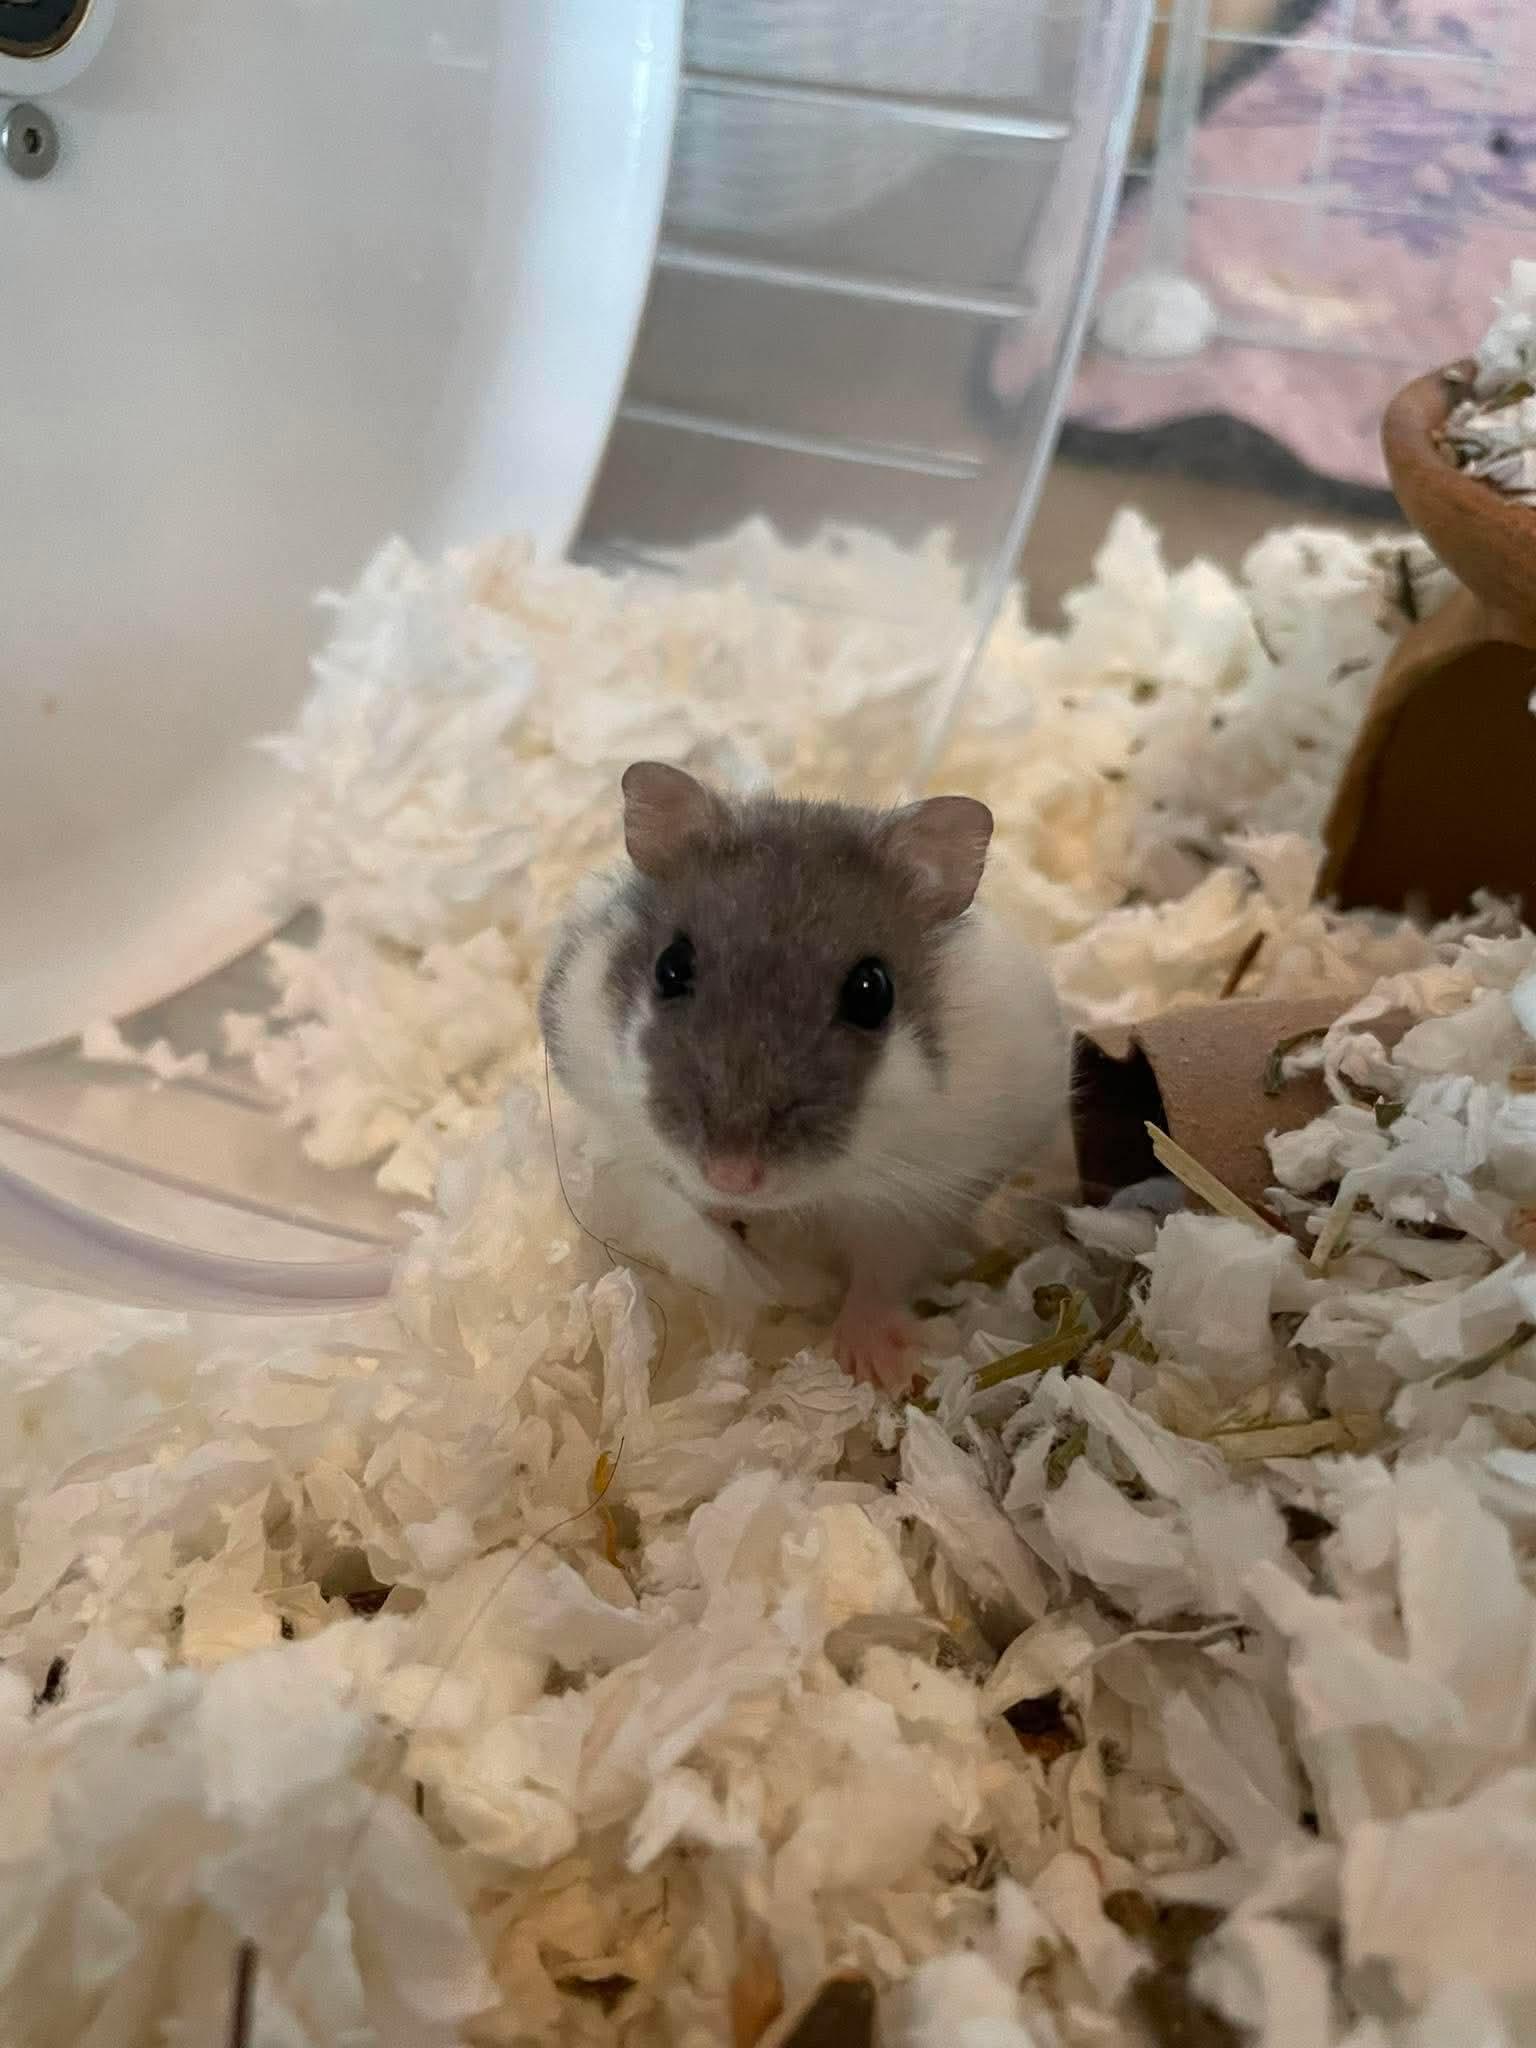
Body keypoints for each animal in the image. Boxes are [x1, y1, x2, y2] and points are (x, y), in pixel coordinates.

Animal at [539, 762, 1066, 1394]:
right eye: (670, 967)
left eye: (872, 991)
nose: (731, 1175)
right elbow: (688, 1218)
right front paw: (745, 1269)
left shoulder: (927, 1193)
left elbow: (882, 1273)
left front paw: (877, 1371)